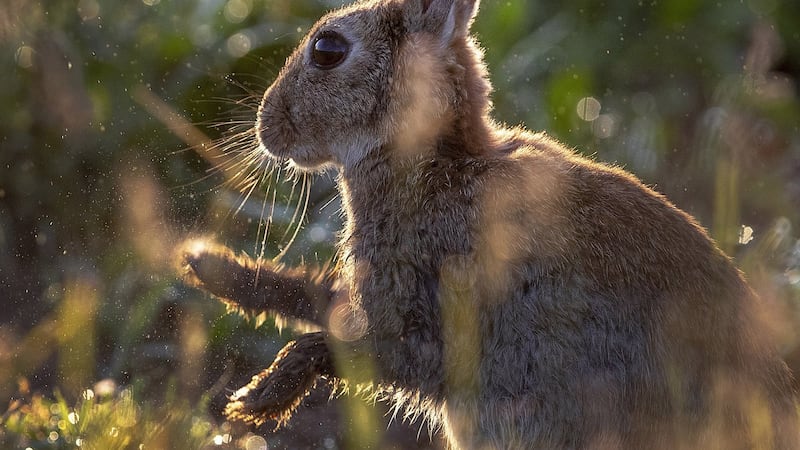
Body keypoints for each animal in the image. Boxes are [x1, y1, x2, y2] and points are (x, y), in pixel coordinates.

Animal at [179, 0, 799, 448]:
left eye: (328, 50)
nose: (265, 126)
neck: (435, 162)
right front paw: (205, 265)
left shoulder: (426, 323)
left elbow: (337, 342)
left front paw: (258, 400)